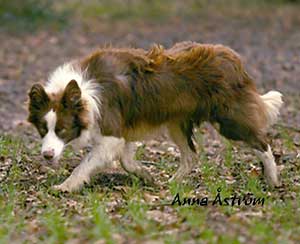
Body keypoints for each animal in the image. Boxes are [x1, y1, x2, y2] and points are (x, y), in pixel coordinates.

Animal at [27, 41, 282, 192]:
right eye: (43, 129)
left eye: (62, 129)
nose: (47, 156)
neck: (84, 91)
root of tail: (233, 59)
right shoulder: (124, 131)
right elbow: (126, 160)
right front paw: (146, 175)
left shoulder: (112, 132)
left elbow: (84, 165)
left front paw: (65, 186)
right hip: (177, 124)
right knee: (190, 155)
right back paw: (172, 183)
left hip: (228, 120)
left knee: (263, 142)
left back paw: (273, 180)